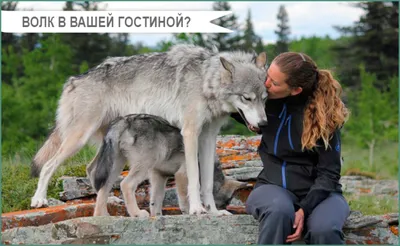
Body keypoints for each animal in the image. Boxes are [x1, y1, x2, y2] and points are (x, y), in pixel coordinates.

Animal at [87, 113, 247, 217]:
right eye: (224, 203)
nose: (220, 209)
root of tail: (123, 121)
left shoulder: (158, 175)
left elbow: (156, 201)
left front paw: (157, 216)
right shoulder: (181, 174)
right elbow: (184, 199)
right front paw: (191, 212)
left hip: (116, 166)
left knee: (103, 188)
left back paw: (102, 216)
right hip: (142, 166)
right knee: (126, 185)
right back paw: (137, 214)